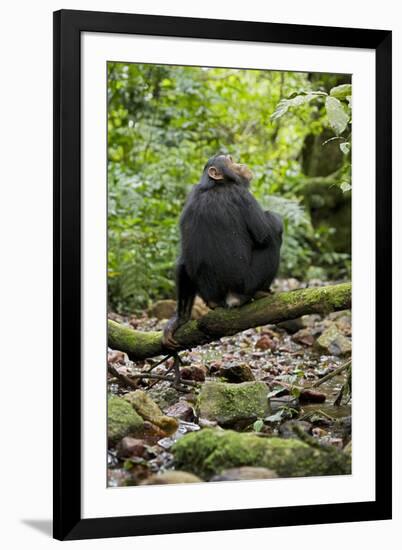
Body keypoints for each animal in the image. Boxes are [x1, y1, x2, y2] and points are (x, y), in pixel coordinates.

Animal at [163, 153, 282, 348]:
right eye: (230, 160)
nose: (240, 164)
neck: (215, 185)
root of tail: (228, 298)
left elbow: (183, 258)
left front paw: (179, 320)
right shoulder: (242, 195)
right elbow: (266, 233)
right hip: (247, 283)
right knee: (271, 239)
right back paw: (261, 292)